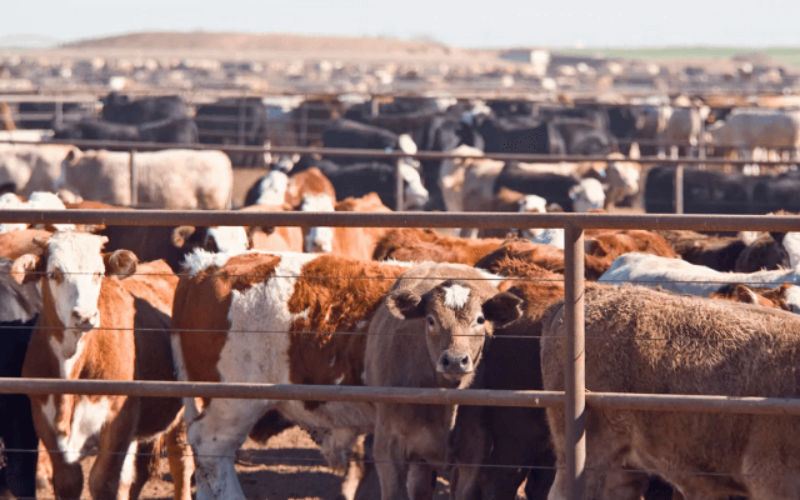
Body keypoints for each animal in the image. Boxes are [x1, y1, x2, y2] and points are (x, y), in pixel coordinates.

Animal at [15, 231, 192, 500]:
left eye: (98, 273)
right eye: (54, 274)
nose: (85, 316)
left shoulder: (119, 418)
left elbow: (102, 482)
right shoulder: (44, 419)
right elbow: (69, 482)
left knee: (180, 460)